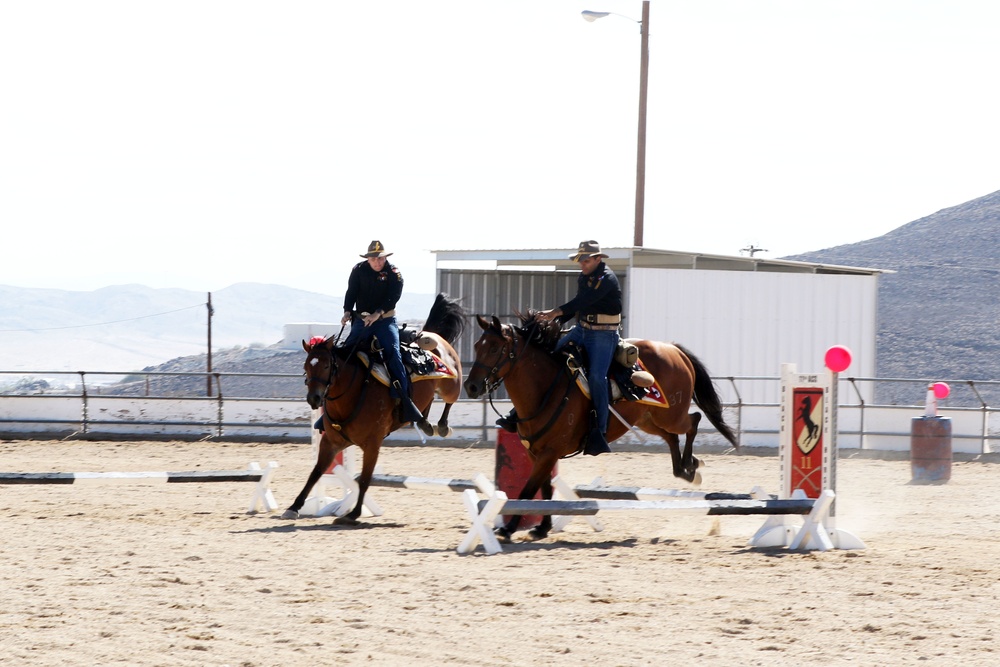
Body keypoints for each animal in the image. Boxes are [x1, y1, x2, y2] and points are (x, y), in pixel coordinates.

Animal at [282, 294, 464, 524]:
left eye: (325, 365)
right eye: (306, 366)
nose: (314, 398)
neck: (354, 391)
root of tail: (433, 335)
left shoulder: (372, 445)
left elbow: (365, 479)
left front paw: (354, 513)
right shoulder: (330, 442)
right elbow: (316, 472)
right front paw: (294, 506)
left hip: (452, 386)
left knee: (450, 400)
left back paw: (441, 426)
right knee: (427, 402)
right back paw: (423, 422)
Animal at [464, 314, 740, 544]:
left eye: (495, 347)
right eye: (477, 345)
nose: (471, 386)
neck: (546, 387)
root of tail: (673, 349)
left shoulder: (549, 453)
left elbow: (528, 490)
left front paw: (508, 528)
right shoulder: (538, 454)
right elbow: (545, 488)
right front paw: (541, 528)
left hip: (671, 415)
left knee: (693, 421)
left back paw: (691, 466)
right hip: (649, 419)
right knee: (672, 437)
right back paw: (684, 469)